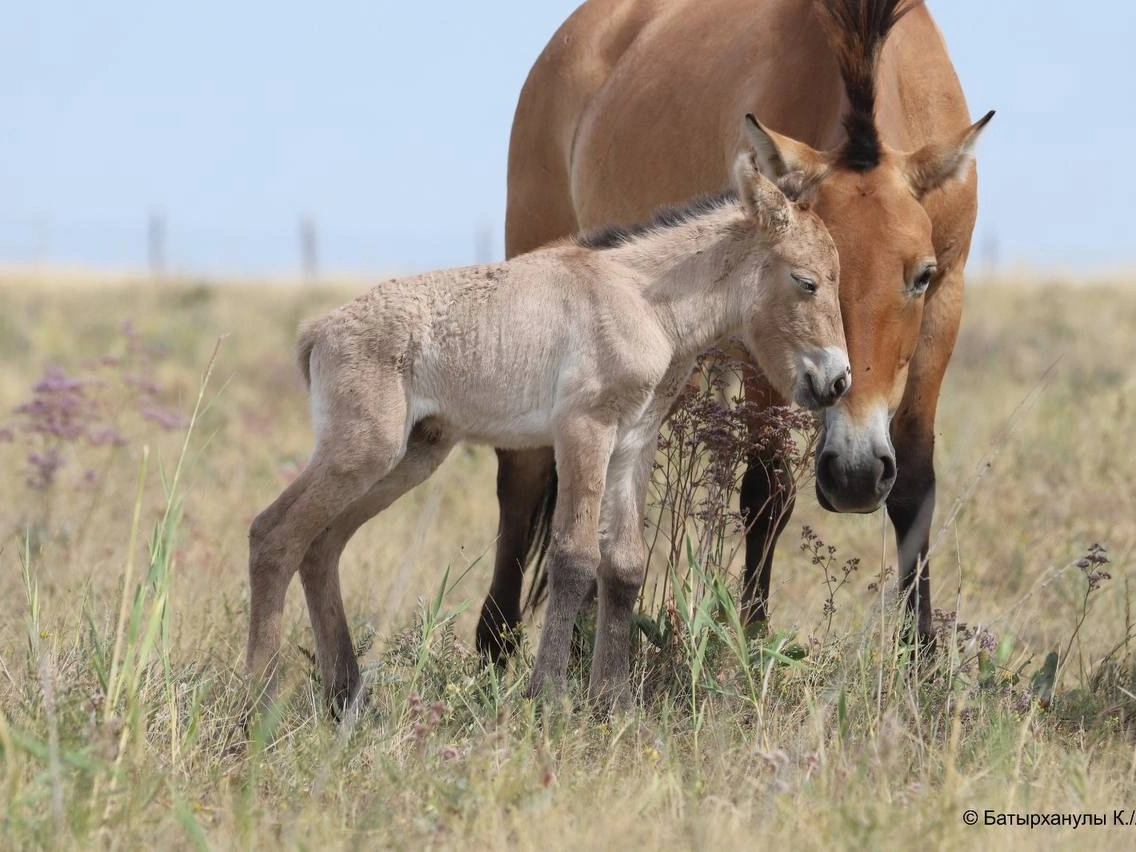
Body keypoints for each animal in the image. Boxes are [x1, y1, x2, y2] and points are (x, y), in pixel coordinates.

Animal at [246, 142, 850, 711]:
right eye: (806, 282)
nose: (837, 381)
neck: (643, 300)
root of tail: (320, 330)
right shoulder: (584, 429)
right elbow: (575, 557)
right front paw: (550, 698)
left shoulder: (632, 443)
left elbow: (625, 565)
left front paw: (614, 702)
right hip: (363, 451)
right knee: (274, 535)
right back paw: (256, 703)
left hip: (410, 457)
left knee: (321, 546)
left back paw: (347, 698)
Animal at [476, 0, 993, 664]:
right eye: (799, 279)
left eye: (920, 276)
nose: (853, 476)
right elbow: (767, 490)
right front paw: (750, 643)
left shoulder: (946, 306)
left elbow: (915, 484)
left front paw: (921, 660)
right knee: (523, 474)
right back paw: (497, 643)